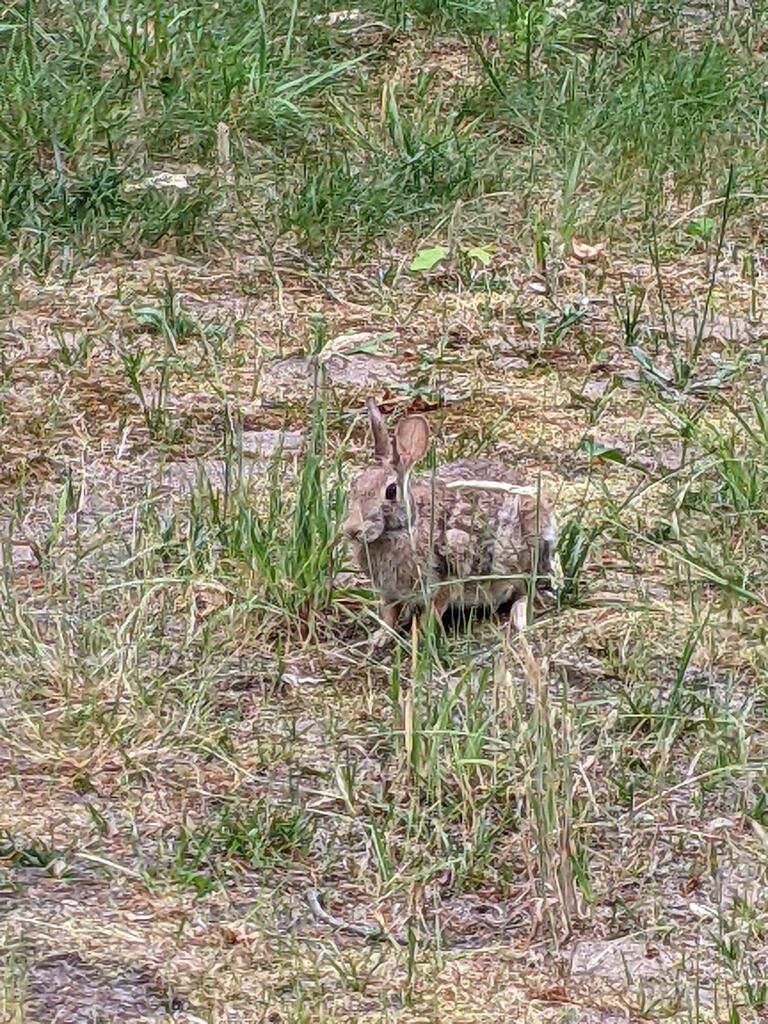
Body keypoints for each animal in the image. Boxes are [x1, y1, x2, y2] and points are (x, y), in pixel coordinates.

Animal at [341, 399, 558, 636]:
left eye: (391, 491)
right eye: (355, 484)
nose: (351, 530)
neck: (406, 529)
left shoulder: (446, 579)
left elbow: (432, 612)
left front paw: (419, 636)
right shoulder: (389, 592)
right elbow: (389, 615)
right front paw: (380, 637)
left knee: (525, 589)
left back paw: (519, 617)